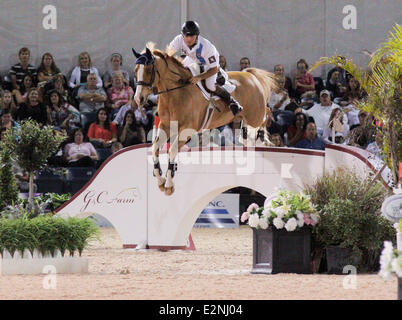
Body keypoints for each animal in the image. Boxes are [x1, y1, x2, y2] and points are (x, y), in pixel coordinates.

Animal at [132, 44, 276, 195]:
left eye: (148, 70)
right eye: (135, 70)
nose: (138, 99)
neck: (176, 93)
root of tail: (250, 75)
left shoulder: (187, 130)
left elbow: (172, 150)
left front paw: (169, 184)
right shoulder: (166, 126)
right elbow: (155, 148)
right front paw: (160, 180)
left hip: (255, 115)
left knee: (267, 113)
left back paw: (263, 138)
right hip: (246, 116)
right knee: (249, 127)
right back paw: (248, 137)